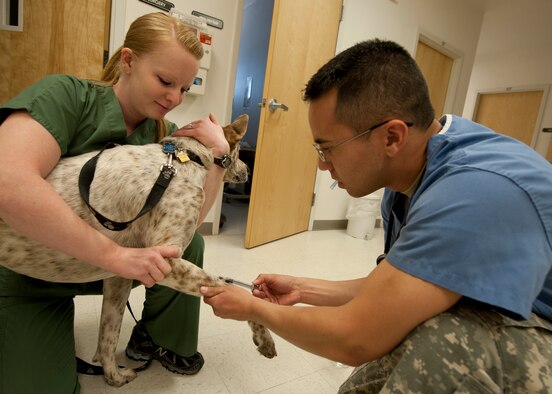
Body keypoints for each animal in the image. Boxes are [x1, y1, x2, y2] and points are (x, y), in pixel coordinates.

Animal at [0, 114, 276, 384]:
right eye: (239, 152)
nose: (248, 170)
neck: (184, 158)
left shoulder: (119, 275)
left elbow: (108, 334)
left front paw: (113, 376)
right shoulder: (165, 260)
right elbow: (230, 287)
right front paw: (264, 336)